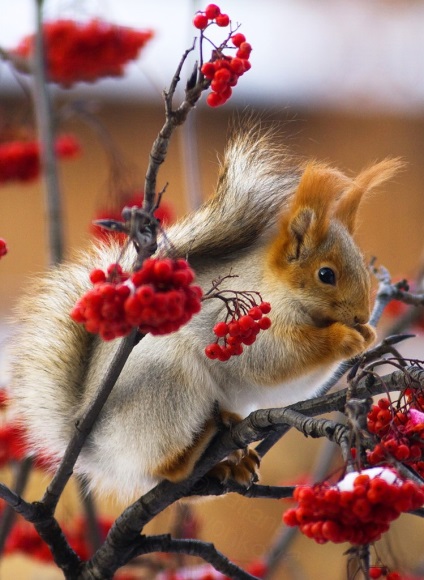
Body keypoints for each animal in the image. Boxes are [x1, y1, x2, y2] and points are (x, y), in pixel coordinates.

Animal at [9, 128, 400, 502]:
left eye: (362, 264)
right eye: (326, 275)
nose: (362, 314)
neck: (280, 289)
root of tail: (97, 449)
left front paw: (367, 335)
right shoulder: (238, 327)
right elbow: (275, 359)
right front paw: (344, 338)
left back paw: (231, 460)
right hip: (166, 385)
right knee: (166, 467)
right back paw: (201, 443)